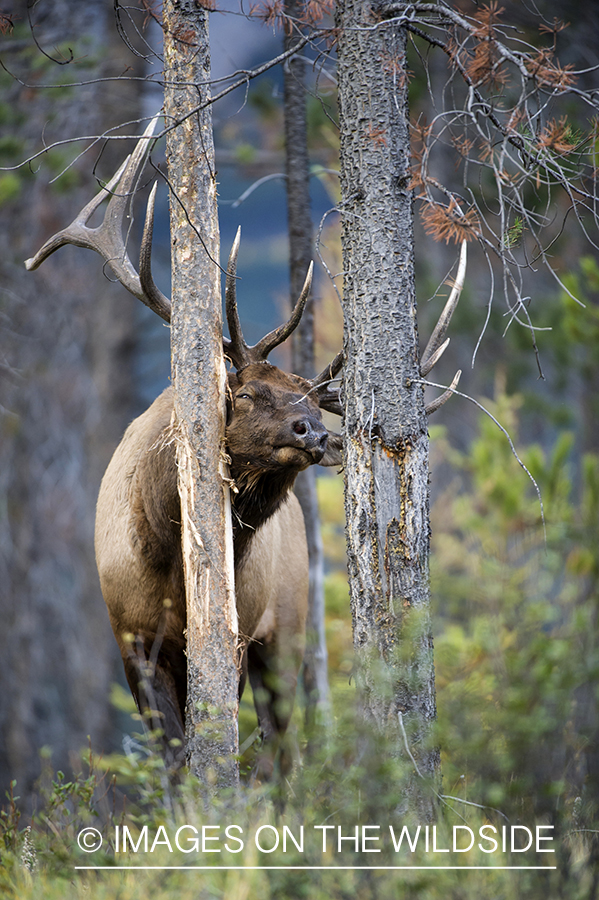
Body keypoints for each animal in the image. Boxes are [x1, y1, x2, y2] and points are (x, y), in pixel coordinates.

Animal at [25, 116, 466, 776]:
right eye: (251, 392)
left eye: (313, 401)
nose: (317, 432)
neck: (168, 560)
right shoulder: (129, 635)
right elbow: (172, 758)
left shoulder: (235, 635)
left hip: (286, 625)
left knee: (285, 748)